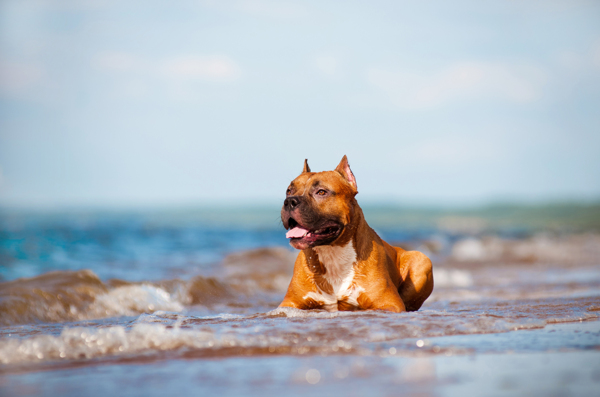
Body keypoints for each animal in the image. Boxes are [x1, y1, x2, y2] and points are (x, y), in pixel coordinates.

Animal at [278, 155, 434, 312]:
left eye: (321, 192)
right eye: (289, 191)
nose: (289, 201)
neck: (331, 253)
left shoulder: (390, 304)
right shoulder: (288, 304)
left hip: (421, 259)